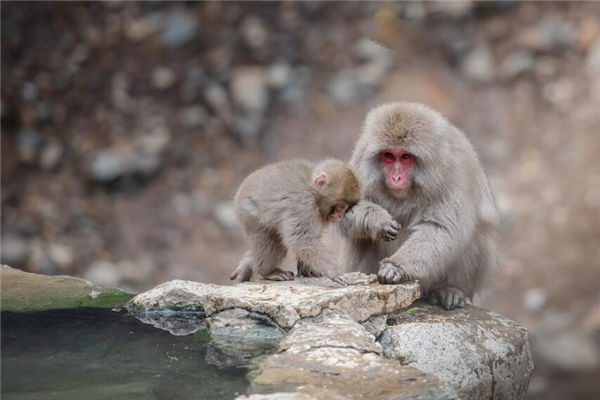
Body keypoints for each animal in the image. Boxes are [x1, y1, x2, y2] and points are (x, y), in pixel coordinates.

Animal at [230, 158, 360, 282]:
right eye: (341, 207)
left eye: (346, 208)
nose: (340, 216)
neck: (313, 192)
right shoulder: (302, 204)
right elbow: (301, 239)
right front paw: (335, 272)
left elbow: (310, 239)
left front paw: (307, 269)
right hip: (249, 213)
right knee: (271, 242)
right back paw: (268, 272)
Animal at [340, 102, 500, 310]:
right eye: (389, 156)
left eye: (406, 157)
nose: (396, 178)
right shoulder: (360, 162)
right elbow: (343, 211)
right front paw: (378, 221)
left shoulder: (454, 173)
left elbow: (442, 228)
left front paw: (395, 267)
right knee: (361, 238)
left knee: (472, 237)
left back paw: (449, 290)